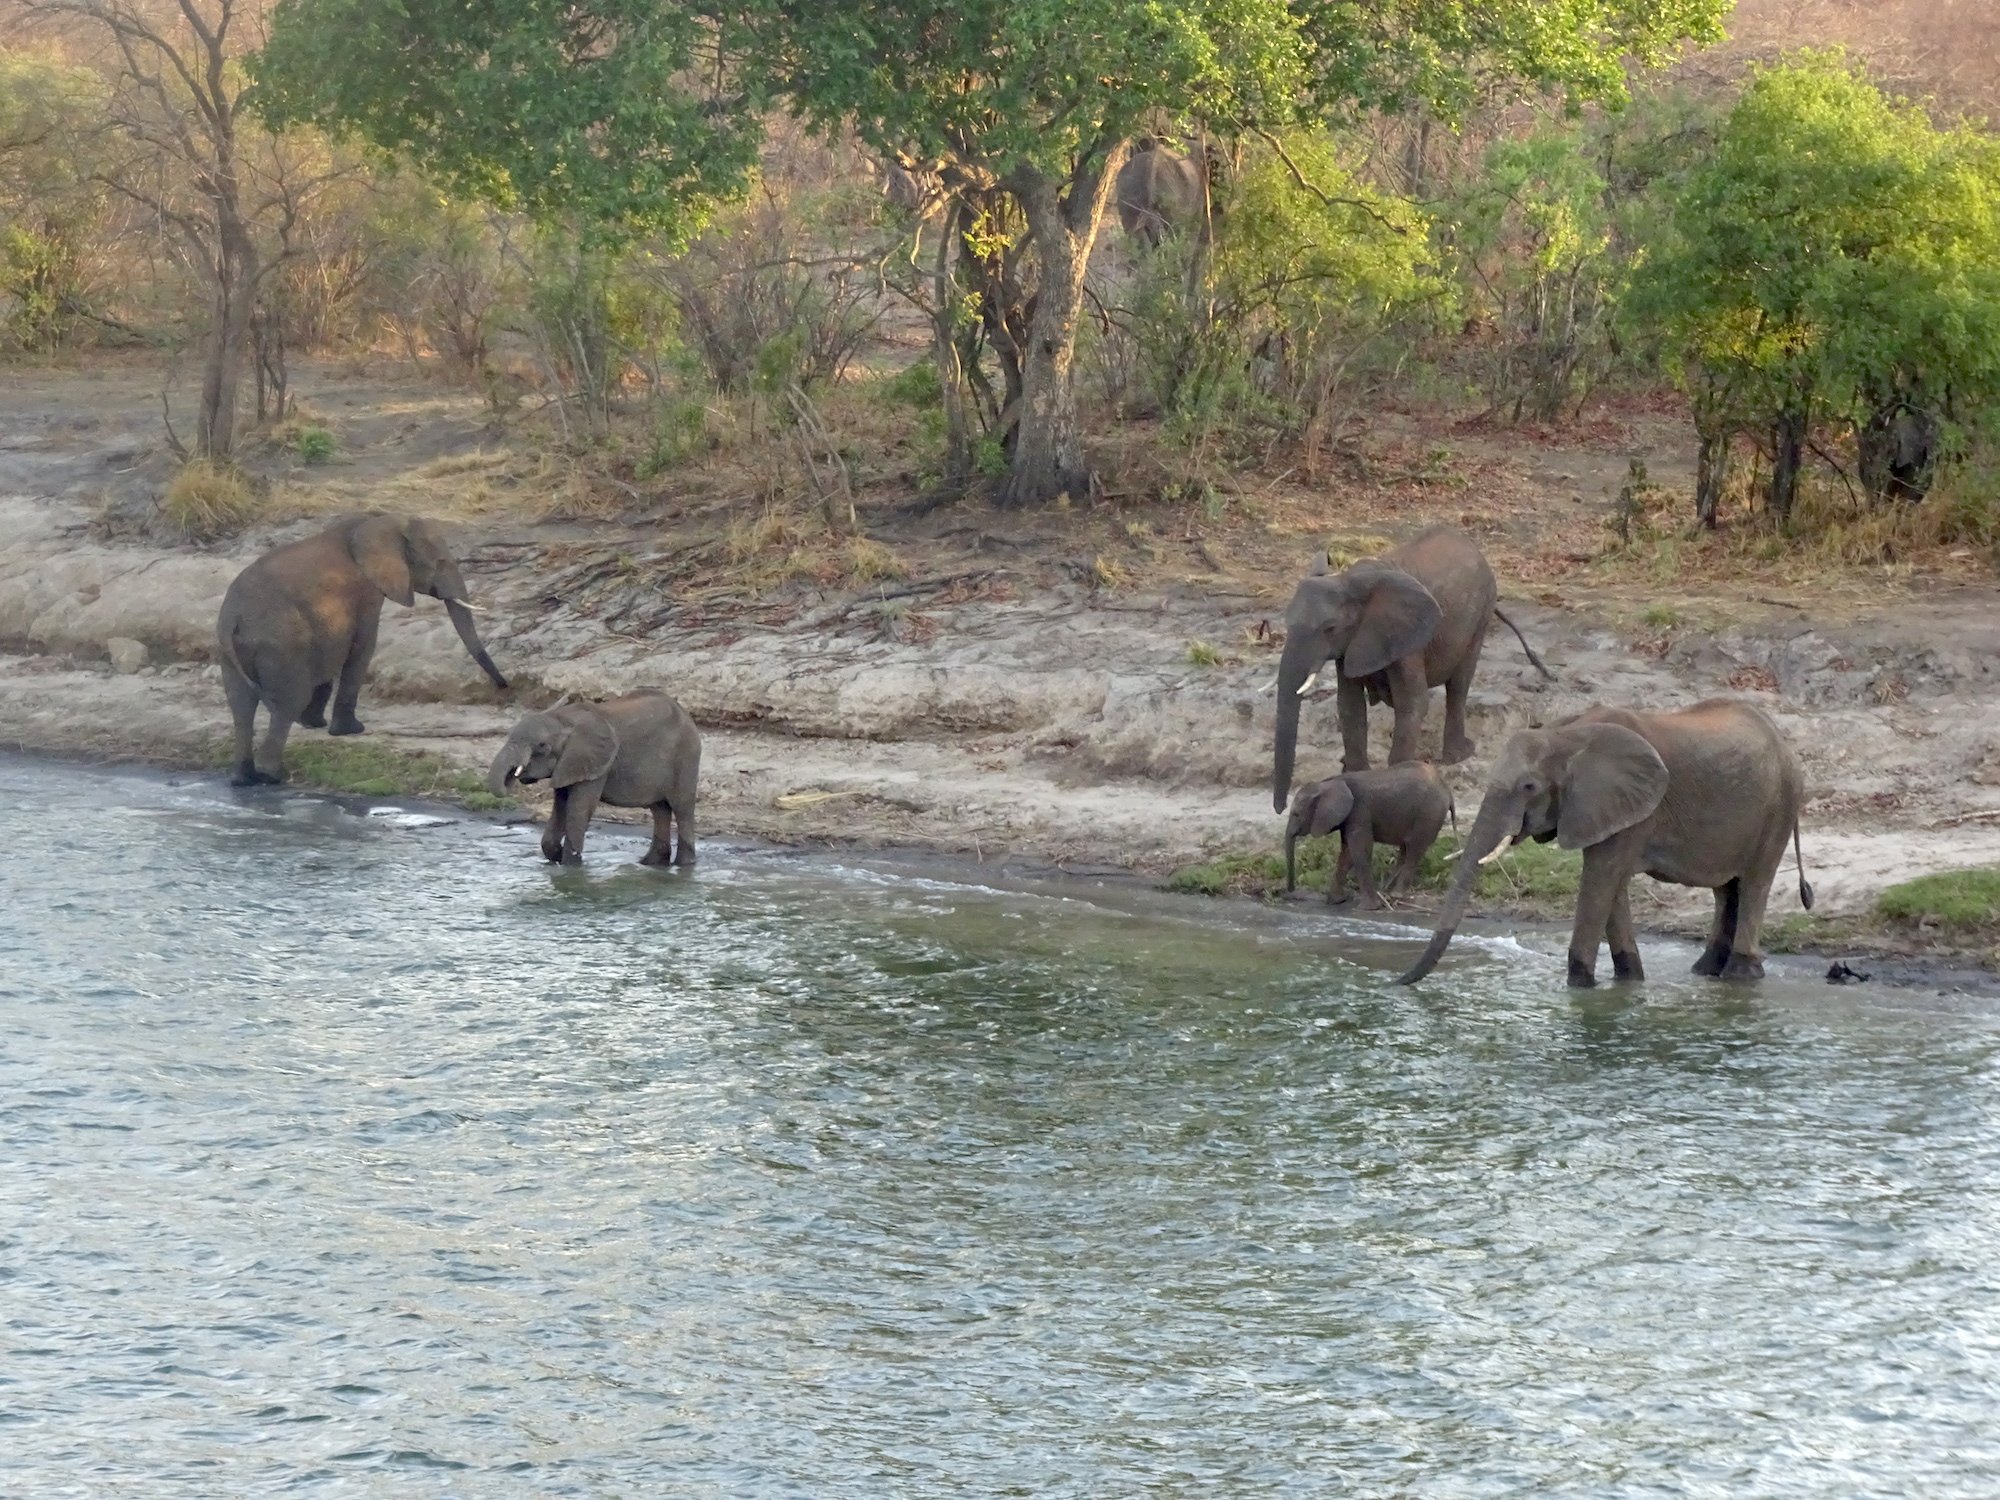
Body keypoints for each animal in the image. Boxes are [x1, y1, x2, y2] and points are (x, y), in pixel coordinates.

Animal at [217, 511, 507, 786]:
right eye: (441, 562)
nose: (503, 685)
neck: (381, 520)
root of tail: (234, 618)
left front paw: (315, 723)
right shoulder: (366, 592)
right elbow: (362, 646)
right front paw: (350, 730)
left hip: (233, 651)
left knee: (242, 708)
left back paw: (243, 778)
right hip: (280, 644)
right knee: (285, 703)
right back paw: (272, 776)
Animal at [489, 689, 700, 867]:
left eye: (542, 746)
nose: (515, 774)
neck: (563, 719)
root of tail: (687, 715)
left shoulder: (595, 763)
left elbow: (579, 808)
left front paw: (571, 867)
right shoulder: (568, 763)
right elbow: (561, 804)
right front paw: (557, 856)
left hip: (685, 757)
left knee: (682, 808)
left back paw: (683, 865)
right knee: (660, 809)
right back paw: (651, 863)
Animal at [1271, 525, 1552, 812]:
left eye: (1329, 629)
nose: (1281, 809)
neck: (1348, 580)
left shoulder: (1407, 637)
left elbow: (1412, 703)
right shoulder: (1352, 644)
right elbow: (1349, 707)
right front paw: (1355, 776)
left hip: (1481, 613)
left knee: (1459, 685)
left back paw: (1459, 755)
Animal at [1284, 761, 1455, 909]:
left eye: (1296, 815)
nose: (1291, 893)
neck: (1330, 782)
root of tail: (1447, 789)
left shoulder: (1360, 811)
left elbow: (1359, 850)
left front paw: (1368, 908)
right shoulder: (1349, 816)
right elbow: (1347, 853)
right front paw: (1336, 901)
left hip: (1428, 814)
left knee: (1414, 848)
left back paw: (1396, 894)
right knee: (1405, 848)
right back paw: (1387, 891)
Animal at [1396, 699, 1814, 989]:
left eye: (1529, 787)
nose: (1397, 982)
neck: (1566, 734)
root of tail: (1782, 740)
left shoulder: (1633, 805)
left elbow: (1601, 878)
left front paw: (1580, 985)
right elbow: (1611, 885)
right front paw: (1628, 982)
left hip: (1780, 804)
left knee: (1755, 882)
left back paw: (1740, 974)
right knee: (1727, 889)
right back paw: (1706, 971)